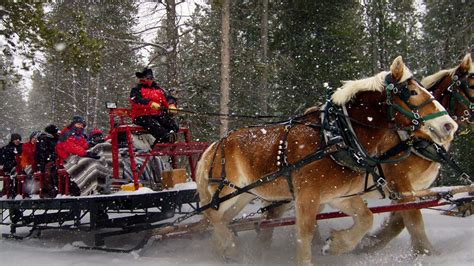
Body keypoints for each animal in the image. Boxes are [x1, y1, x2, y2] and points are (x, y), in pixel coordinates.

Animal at [195, 56, 456, 266]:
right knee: (211, 217)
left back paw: (221, 250)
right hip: (226, 192)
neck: (337, 138)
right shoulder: (308, 196)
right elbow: (304, 233)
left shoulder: (339, 196)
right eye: (412, 93)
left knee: (218, 221)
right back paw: (229, 246)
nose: (449, 125)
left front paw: (336, 244)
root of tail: (214, 146)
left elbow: (366, 218)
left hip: (243, 195)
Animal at [360, 53, 474, 254]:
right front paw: (427, 253)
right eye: (472, 85)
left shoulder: (414, 187)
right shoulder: (399, 181)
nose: (449, 126)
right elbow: (413, 218)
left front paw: (370, 243)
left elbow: (399, 221)